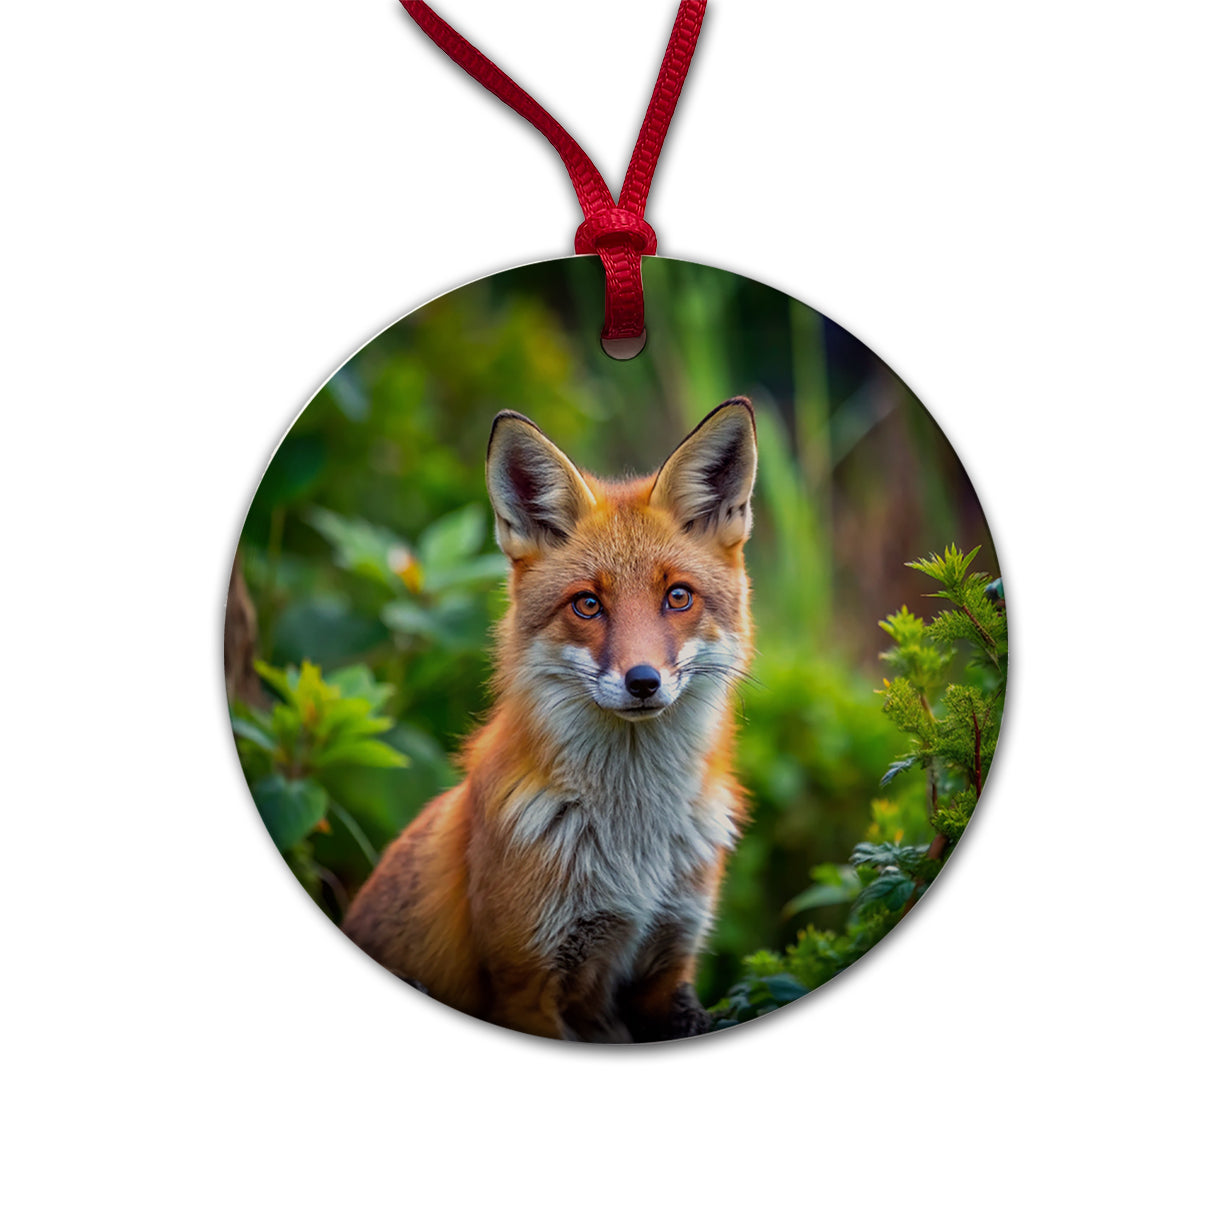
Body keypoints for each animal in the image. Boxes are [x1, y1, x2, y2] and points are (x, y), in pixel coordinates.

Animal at [343, 396, 758, 1042]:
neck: (633, 850)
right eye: (587, 604)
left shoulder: (669, 967)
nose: (643, 681)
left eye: (678, 597)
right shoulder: (525, 986)